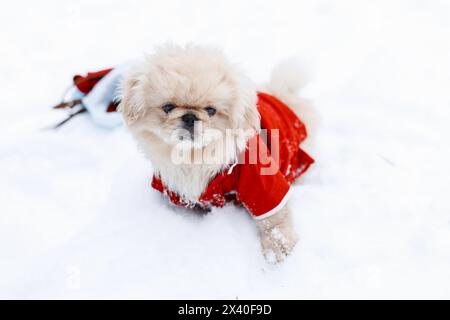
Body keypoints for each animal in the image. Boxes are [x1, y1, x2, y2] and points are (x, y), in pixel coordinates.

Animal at [119, 45, 316, 264]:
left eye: (211, 110)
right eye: (168, 107)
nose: (190, 117)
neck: (195, 156)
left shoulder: (262, 183)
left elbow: (273, 219)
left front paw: (277, 247)